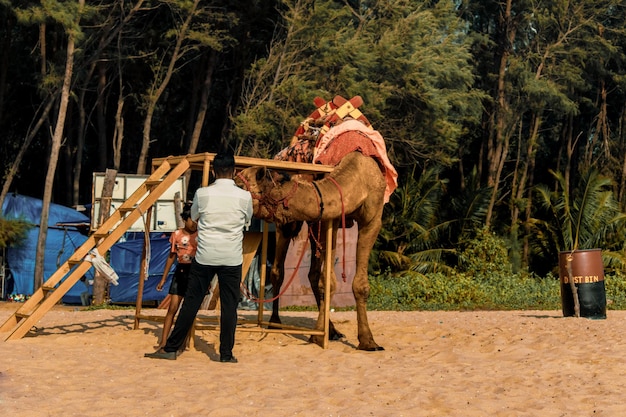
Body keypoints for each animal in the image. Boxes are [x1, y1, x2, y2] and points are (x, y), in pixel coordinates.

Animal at [236, 151, 388, 350]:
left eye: (239, 185)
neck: (358, 178)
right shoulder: (331, 219)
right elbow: (328, 282)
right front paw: (319, 336)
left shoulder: (371, 220)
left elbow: (352, 284)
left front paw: (368, 341)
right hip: (287, 225)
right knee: (279, 271)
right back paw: (276, 322)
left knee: (311, 274)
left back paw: (330, 330)